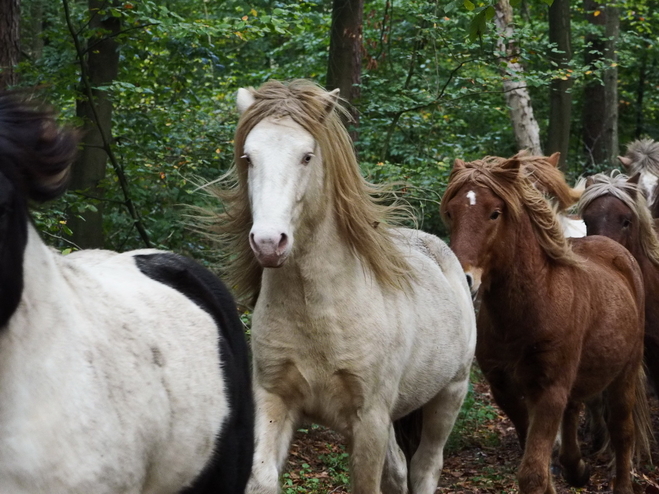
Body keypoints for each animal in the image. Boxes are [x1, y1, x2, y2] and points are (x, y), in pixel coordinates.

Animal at [211, 81, 480, 494]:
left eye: (307, 156)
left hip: (450, 394)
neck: (320, 312)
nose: (269, 243)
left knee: (425, 466)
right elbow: (262, 477)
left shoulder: (368, 419)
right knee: (398, 469)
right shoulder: (274, 399)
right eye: (249, 157)